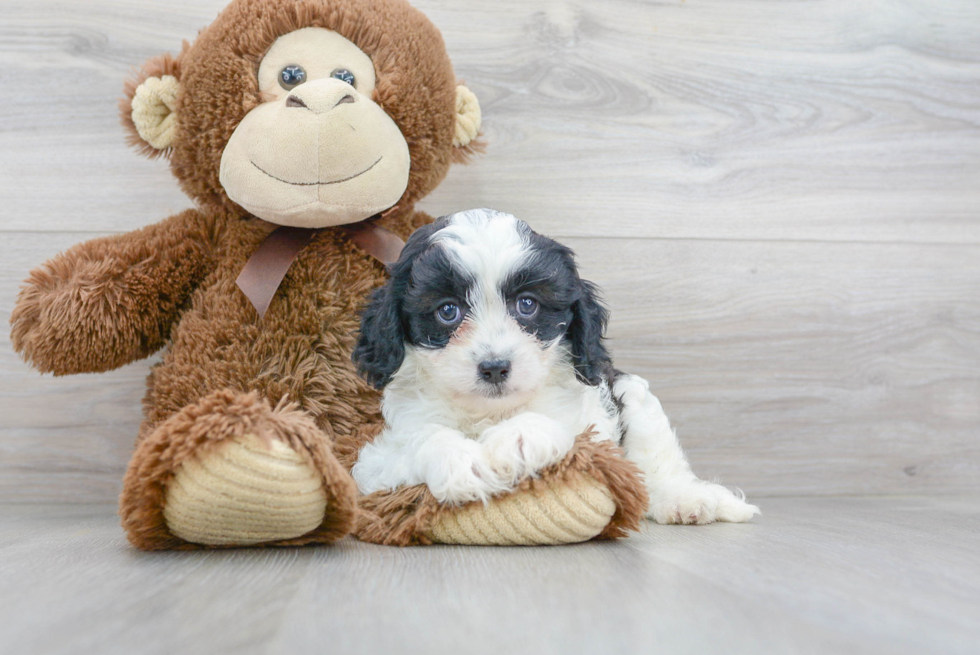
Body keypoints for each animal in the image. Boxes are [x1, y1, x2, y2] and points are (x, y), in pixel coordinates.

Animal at [352, 210, 756, 528]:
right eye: (447, 311)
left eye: (527, 305)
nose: (495, 367)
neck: (490, 412)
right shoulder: (376, 463)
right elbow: (424, 438)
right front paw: (462, 464)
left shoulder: (592, 426)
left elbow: (551, 422)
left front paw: (513, 442)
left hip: (631, 394)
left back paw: (683, 499)